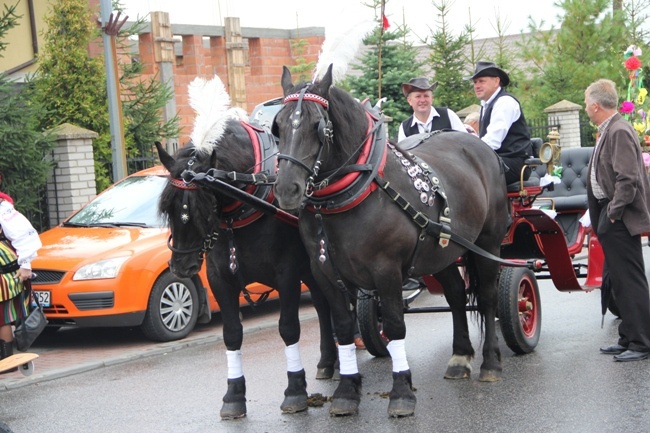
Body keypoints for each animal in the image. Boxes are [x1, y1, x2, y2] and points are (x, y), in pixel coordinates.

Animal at [156, 115, 340, 418]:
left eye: (204, 208)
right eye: (168, 208)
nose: (181, 266)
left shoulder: (288, 274)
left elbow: (288, 328)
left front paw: (295, 390)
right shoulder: (219, 279)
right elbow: (231, 334)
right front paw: (233, 395)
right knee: (323, 306)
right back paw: (327, 361)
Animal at [270, 66, 508, 416]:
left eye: (318, 127)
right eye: (278, 127)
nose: (288, 189)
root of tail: (479, 146)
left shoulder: (387, 270)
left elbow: (396, 326)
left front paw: (401, 392)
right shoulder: (324, 272)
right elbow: (344, 327)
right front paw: (346, 390)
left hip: (488, 243)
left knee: (488, 297)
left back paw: (490, 362)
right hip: (441, 252)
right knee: (455, 295)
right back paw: (460, 356)